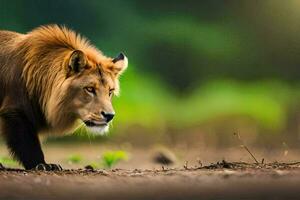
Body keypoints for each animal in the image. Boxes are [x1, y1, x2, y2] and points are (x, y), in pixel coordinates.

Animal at [0, 24, 127, 170]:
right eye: (90, 89)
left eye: (110, 91)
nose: (109, 115)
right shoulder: (15, 109)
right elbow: (28, 143)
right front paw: (42, 164)